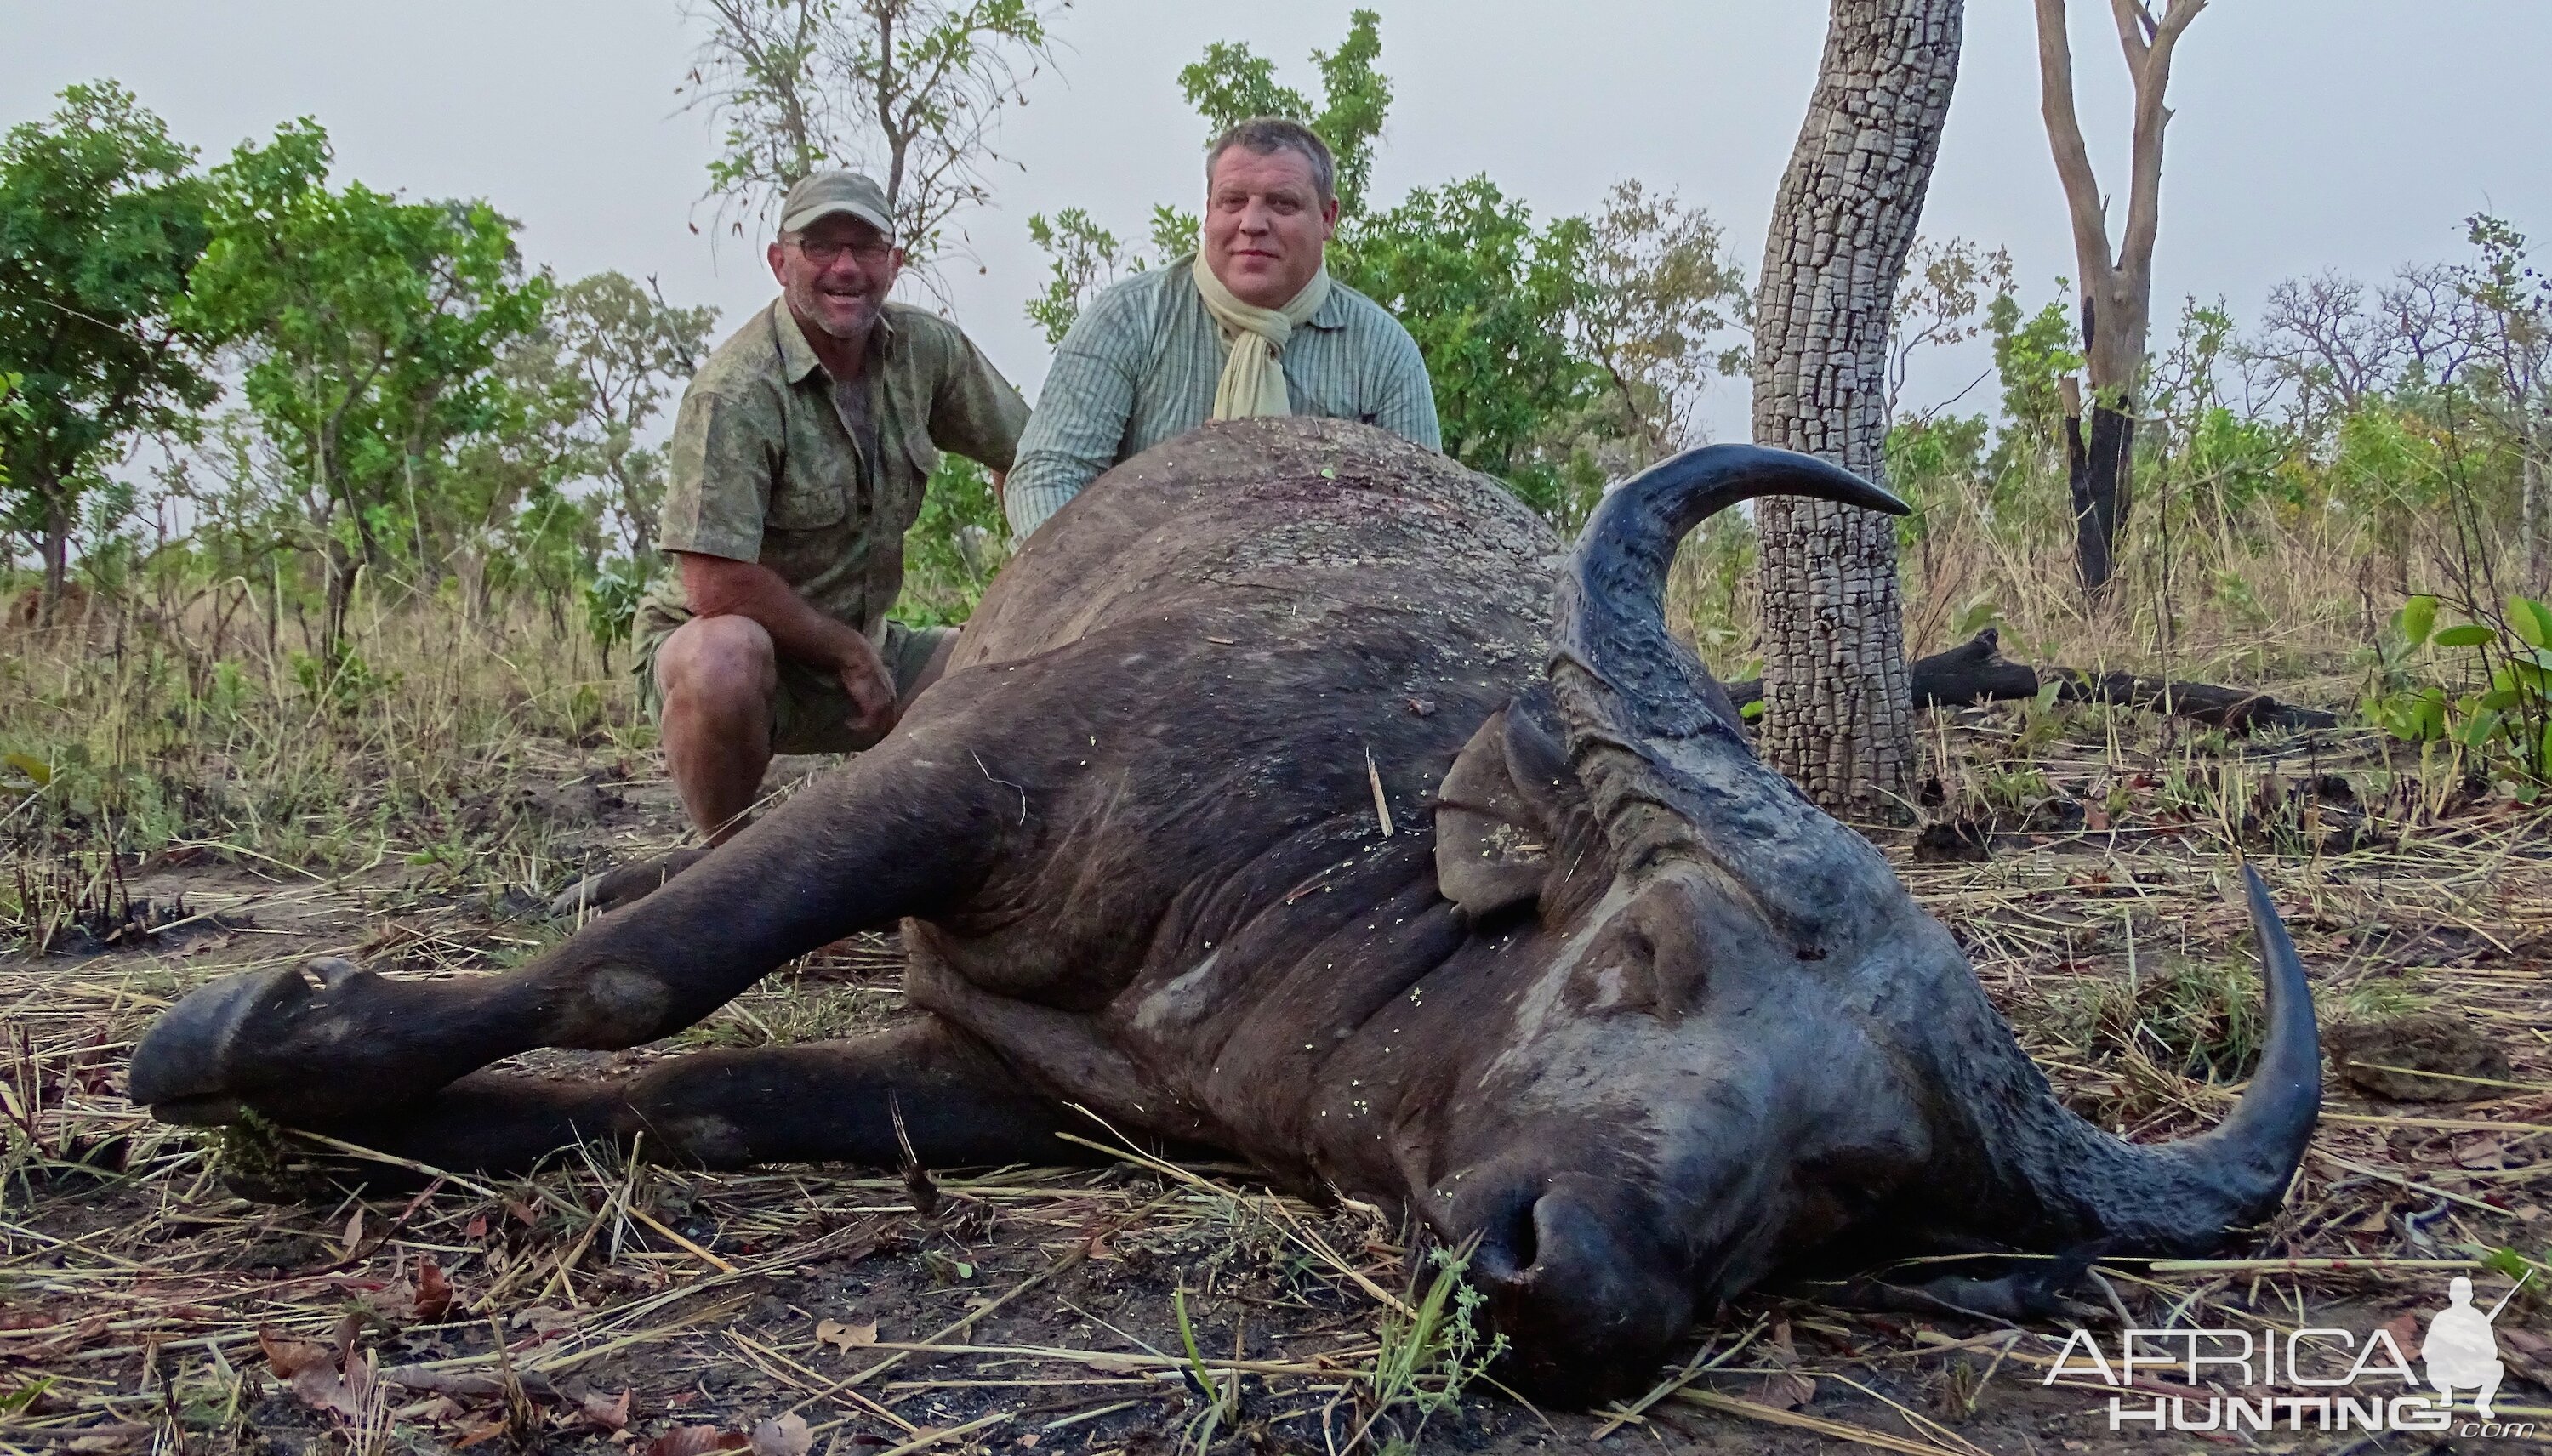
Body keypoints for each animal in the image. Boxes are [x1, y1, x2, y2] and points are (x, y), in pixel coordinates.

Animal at [129, 415, 2327, 1397]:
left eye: (1849, 1174)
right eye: (1640, 950)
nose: (1569, 1271)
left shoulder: (998, 1083)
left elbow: (700, 1099)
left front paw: (379, 1127)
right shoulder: (963, 781)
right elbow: (631, 975)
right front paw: (250, 1040)